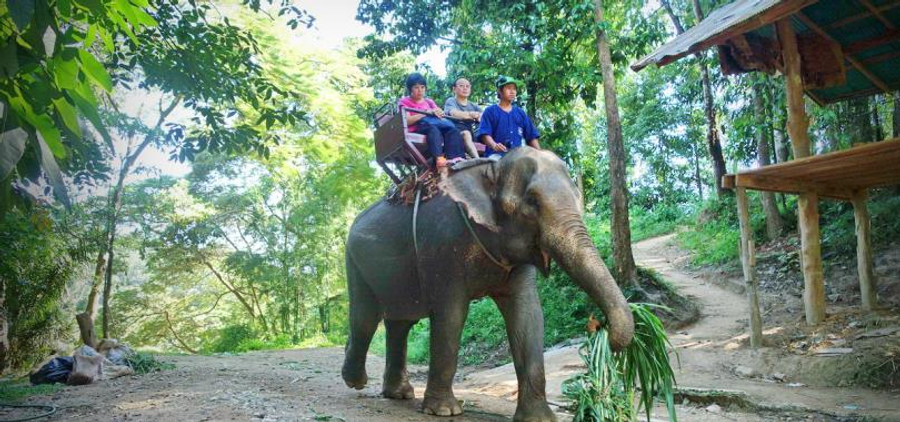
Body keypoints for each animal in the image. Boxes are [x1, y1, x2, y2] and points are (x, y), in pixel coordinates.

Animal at [341, 147, 634, 422]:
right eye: (531, 202)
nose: (599, 326)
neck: (490, 168)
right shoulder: (442, 246)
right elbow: (451, 315)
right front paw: (444, 411)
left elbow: (527, 315)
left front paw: (538, 418)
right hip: (354, 260)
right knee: (366, 317)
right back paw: (355, 381)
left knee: (400, 321)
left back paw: (399, 394)